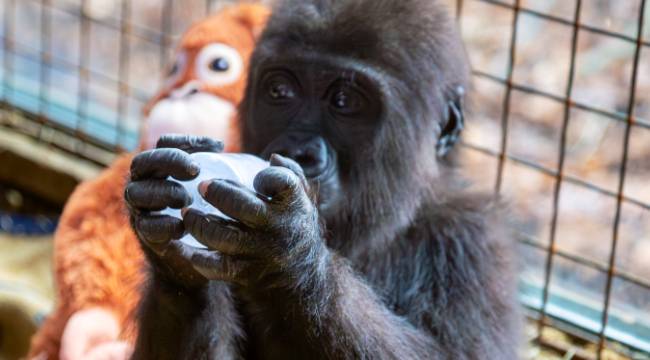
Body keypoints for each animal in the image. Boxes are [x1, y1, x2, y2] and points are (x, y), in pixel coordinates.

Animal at [126, 0, 520, 360]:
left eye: (344, 101)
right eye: (280, 92)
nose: (298, 151)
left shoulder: (472, 241)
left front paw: (288, 255)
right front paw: (172, 265)